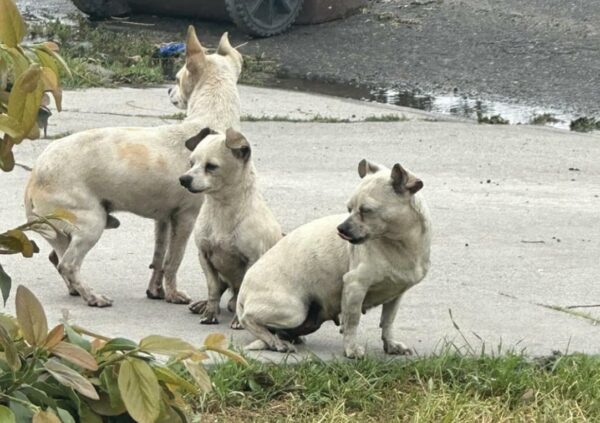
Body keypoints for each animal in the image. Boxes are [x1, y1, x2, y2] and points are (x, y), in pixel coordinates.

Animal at [22, 26, 244, 306]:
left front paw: (156, 291)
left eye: (177, 79)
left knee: (57, 258)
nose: (168, 91)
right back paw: (92, 296)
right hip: (92, 222)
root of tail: (34, 176)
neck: (209, 122)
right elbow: (175, 260)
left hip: (67, 229)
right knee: (67, 264)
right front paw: (173, 294)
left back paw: (77, 289)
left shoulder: (164, 220)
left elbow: (160, 259)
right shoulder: (185, 218)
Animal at [178, 128, 284, 328]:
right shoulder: (205, 256)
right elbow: (212, 289)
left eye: (211, 166)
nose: (183, 179)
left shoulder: (251, 261)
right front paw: (210, 313)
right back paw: (204, 305)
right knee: (221, 289)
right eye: (191, 163)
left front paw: (238, 320)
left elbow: (242, 290)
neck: (221, 208)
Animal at [236, 161, 432, 360]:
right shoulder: (355, 286)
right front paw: (351, 349)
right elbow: (352, 321)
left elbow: (387, 322)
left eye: (366, 211)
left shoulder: (396, 295)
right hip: (294, 311)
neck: (400, 245)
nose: (341, 229)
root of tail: (242, 293)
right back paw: (276, 342)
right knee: (248, 319)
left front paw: (391, 345)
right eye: (349, 209)